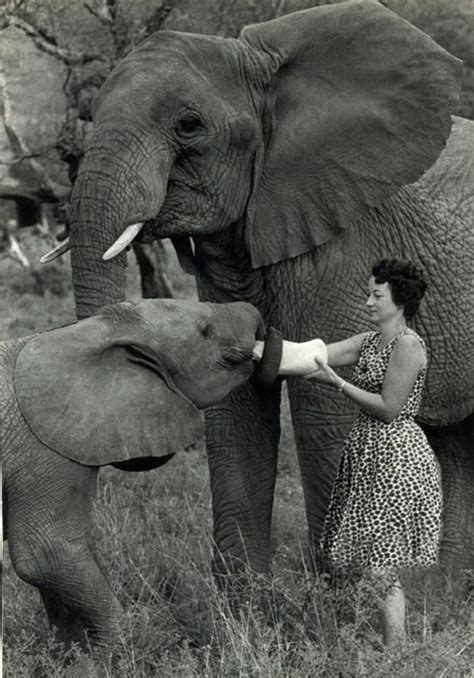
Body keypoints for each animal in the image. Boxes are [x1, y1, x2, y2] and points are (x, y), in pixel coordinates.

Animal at [0, 300, 274, 652]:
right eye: (205, 330)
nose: (258, 317)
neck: (84, 333)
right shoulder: (44, 450)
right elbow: (45, 552)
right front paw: (112, 653)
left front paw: (70, 653)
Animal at [59, 1, 474, 572]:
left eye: (188, 125)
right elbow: (235, 411)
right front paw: (246, 596)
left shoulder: (344, 240)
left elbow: (325, 412)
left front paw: (342, 593)